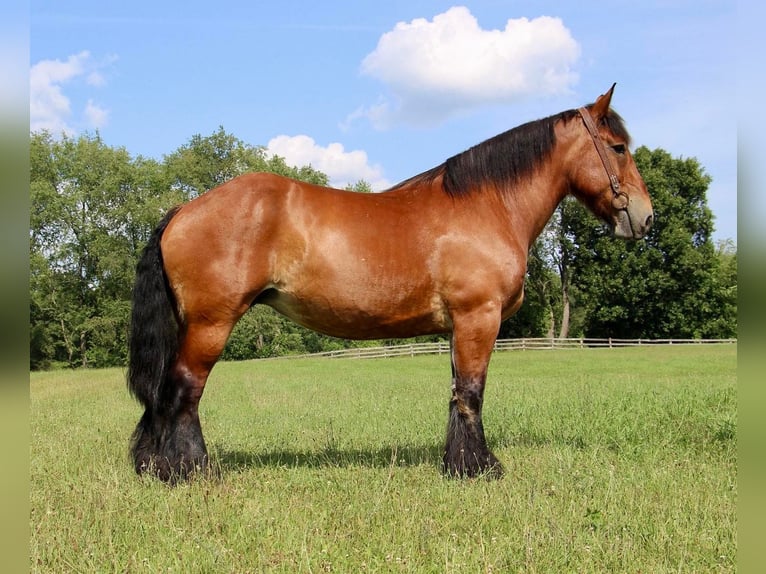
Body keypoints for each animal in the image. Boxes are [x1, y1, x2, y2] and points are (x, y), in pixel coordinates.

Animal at [126, 84, 656, 482]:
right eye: (618, 148)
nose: (646, 217)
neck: (486, 206)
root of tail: (182, 210)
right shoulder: (478, 318)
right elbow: (473, 393)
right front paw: (481, 469)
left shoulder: (458, 328)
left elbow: (457, 393)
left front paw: (457, 463)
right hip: (210, 324)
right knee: (184, 391)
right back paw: (191, 471)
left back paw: (157, 465)